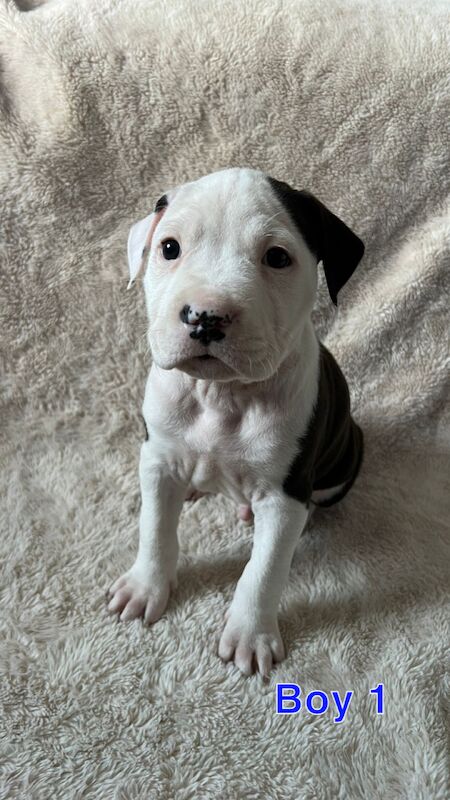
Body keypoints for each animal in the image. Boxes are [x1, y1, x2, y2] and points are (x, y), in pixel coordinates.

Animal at [109, 167, 366, 676]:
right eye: (169, 247)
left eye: (277, 257)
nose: (205, 316)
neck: (222, 394)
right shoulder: (157, 458)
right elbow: (154, 527)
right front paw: (145, 587)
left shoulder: (284, 495)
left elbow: (263, 570)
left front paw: (250, 634)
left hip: (344, 460)